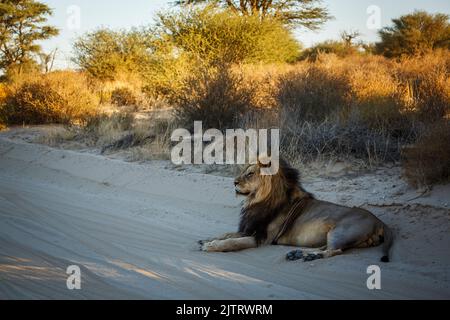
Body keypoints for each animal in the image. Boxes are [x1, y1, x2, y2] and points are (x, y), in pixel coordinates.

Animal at [200, 158, 394, 262]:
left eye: (250, 174)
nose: (233, 182)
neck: (256, 201)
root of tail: (379, 221)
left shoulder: (263, 238)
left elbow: (233, 242)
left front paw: (211, 246)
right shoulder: (249, 228)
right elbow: (227, 234)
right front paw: (207, 240)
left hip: (340, 232)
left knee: (334, 251)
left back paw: (308, 256)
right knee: (326, 247)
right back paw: (297, 253)